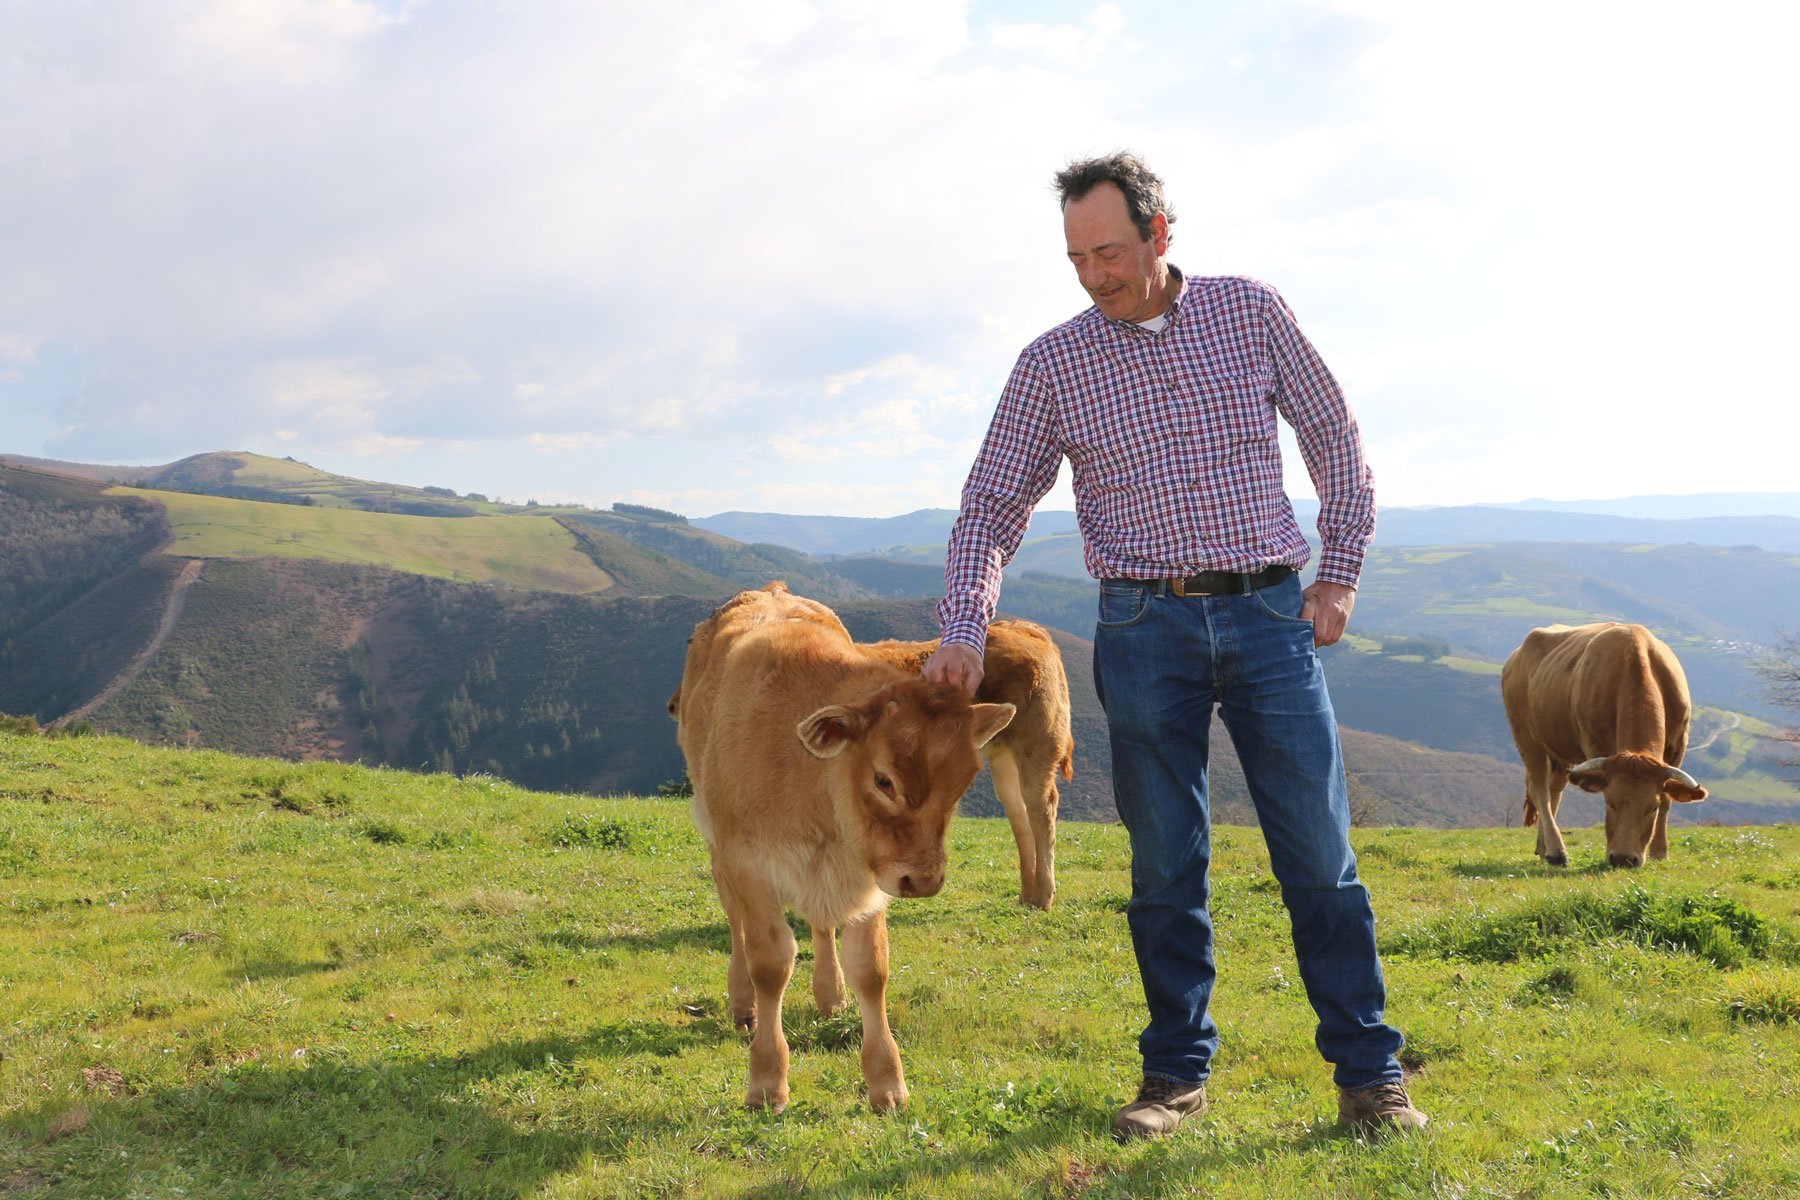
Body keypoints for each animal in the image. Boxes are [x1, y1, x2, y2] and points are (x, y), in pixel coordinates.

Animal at [673, 586, 1022, 1115]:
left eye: (964, 782)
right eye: (883, 780)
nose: (924, 880)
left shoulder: (871, 879)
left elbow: (871, 969)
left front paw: (887, 1082)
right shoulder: (748, 865)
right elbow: (770, 962)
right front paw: (767, 1081)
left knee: (821, 926)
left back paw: (830, 994)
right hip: (717, 846)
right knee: (735, 924)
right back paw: (742, 1002)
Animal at [1497, 626, 1706, 867]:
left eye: (1651, 808)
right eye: (1609, 802)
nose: (1624, 859)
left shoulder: (1678, 745)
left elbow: (1667, 799)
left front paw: (1660, 852)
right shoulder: (1596, 746)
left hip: (1558, 747)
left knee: (1554, 790)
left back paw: (1543, 847)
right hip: (1525, 736)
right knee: (1540, 790)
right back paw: (1556, 850)